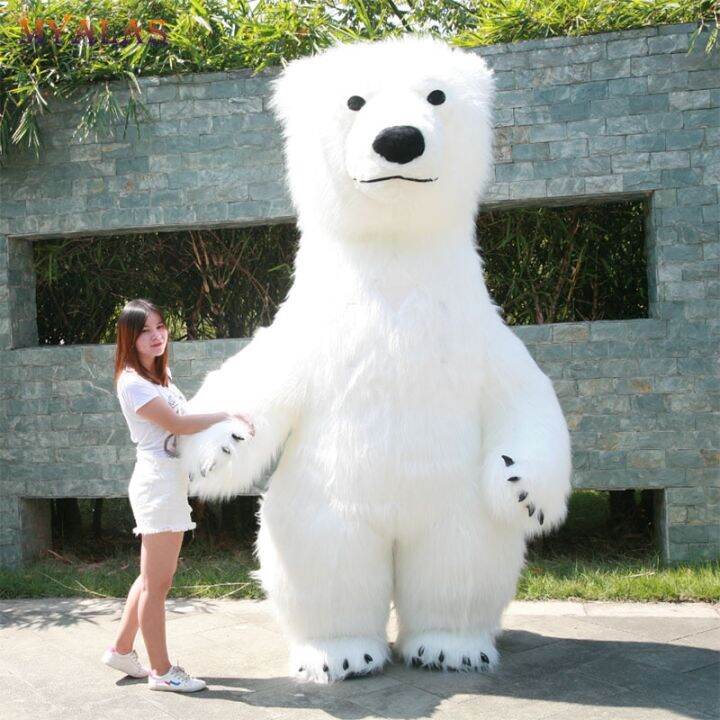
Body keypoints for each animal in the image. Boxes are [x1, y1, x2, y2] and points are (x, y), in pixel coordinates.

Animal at [180, 35, 572, 684]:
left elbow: (528, 396)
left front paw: (524, 487)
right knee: (324, 561)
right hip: (322, 499)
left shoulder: (482, 335)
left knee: (461, 563)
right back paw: (340, 653)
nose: (399, 139)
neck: (393, 261)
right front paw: (220, 446)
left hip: (455, 502)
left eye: (436, 95)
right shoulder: (307, 336)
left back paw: (450, 647)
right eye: (354, 100)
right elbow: (253, 379)